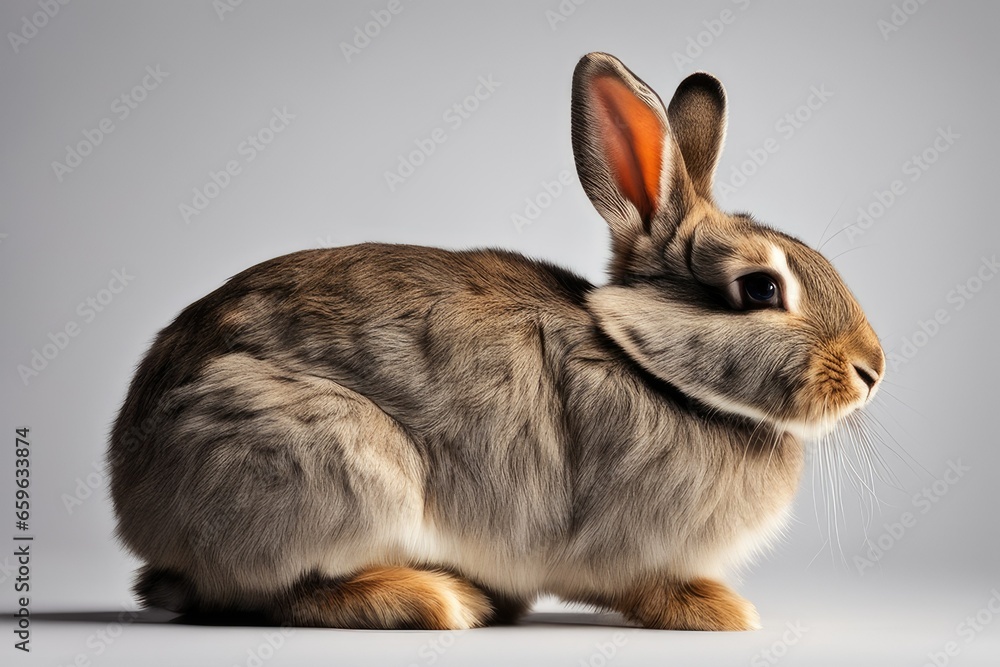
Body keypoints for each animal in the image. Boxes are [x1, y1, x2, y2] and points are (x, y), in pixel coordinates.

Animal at [108, 52, 885, 632]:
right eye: (760, 289)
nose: (872, 368)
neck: (648, 363)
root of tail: (135, 490)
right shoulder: (626, 550)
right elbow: (643, 586)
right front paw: (720, 610)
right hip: (340, 464)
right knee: (281, 592)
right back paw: (437, 599)